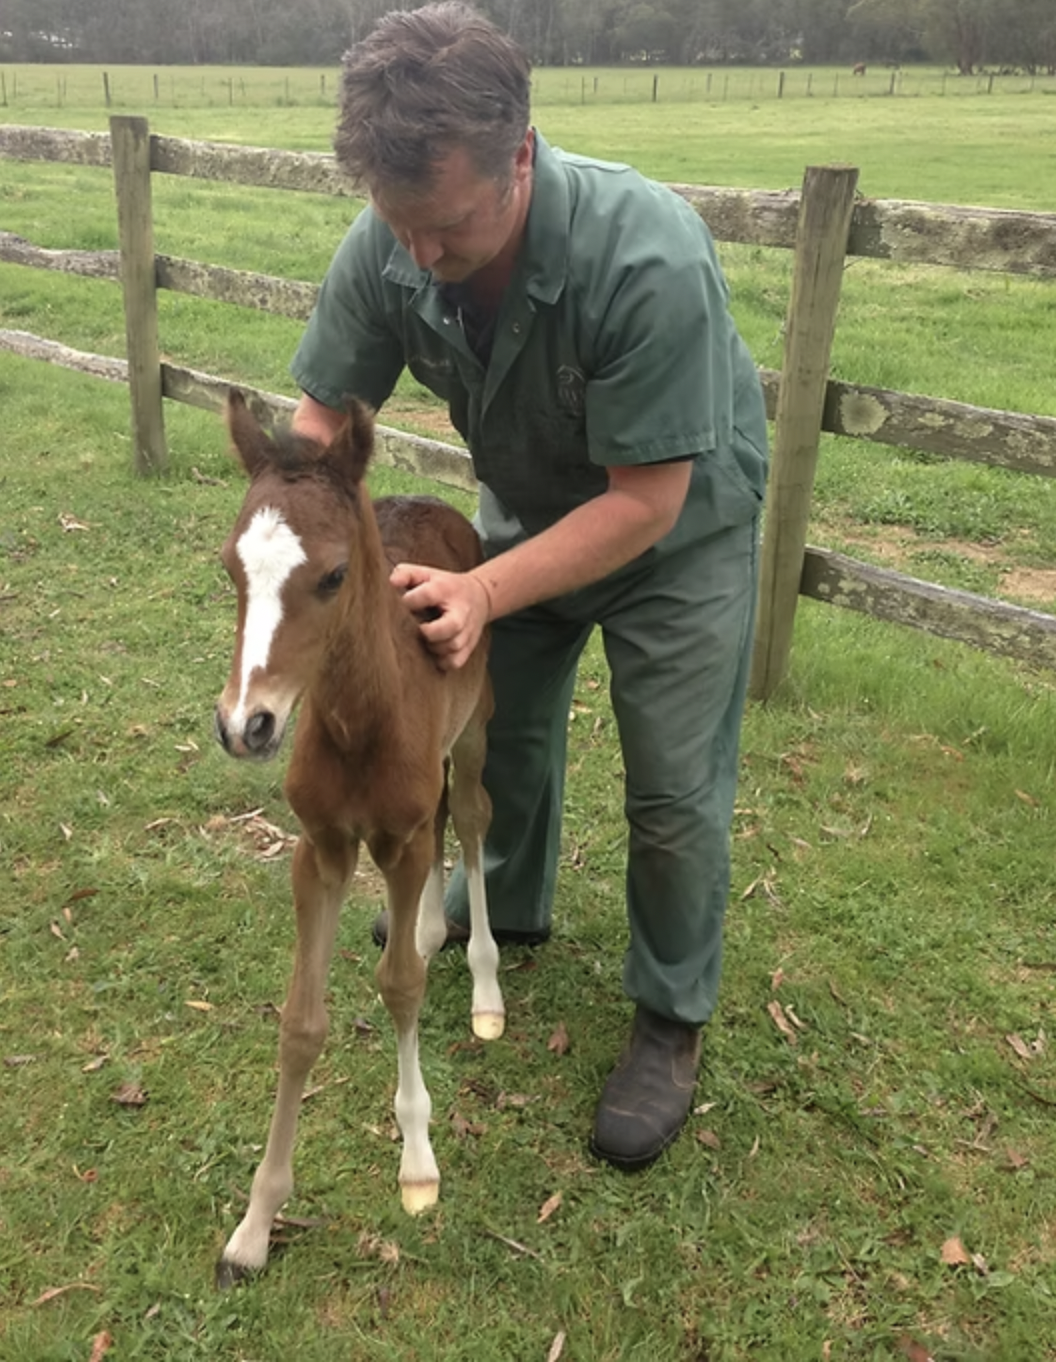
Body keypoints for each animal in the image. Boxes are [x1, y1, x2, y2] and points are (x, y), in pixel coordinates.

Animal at [212, 390, 503, 1285]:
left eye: (333, 576)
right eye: (230, 569)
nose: (246, 726)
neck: (358, 720)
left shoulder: (397, 842)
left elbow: (400, 986)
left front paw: (417, 1162)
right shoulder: (323, 850)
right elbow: (302, 1024)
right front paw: (255, 1225)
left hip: (474, 730)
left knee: (469, 817)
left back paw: (484, 985)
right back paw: (432, 929)